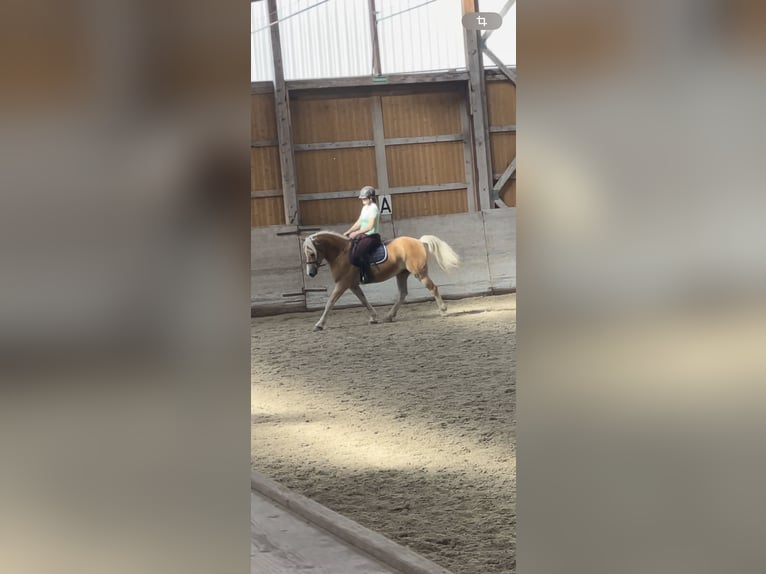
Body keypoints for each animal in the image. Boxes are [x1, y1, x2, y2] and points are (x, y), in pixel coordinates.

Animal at [302, 231, 460, 330]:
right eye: (306, 253)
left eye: (312, 253)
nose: (310, 273)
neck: (341, 253)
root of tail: (419, 241)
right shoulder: (352, 284)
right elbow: (363, 300)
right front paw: (373, 317)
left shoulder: (342, 283)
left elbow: (330, 303)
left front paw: (319, 324)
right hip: (402, 274)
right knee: (402, 294)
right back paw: (389, 316)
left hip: (419, 273)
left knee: (433, 288)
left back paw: (443, 310)